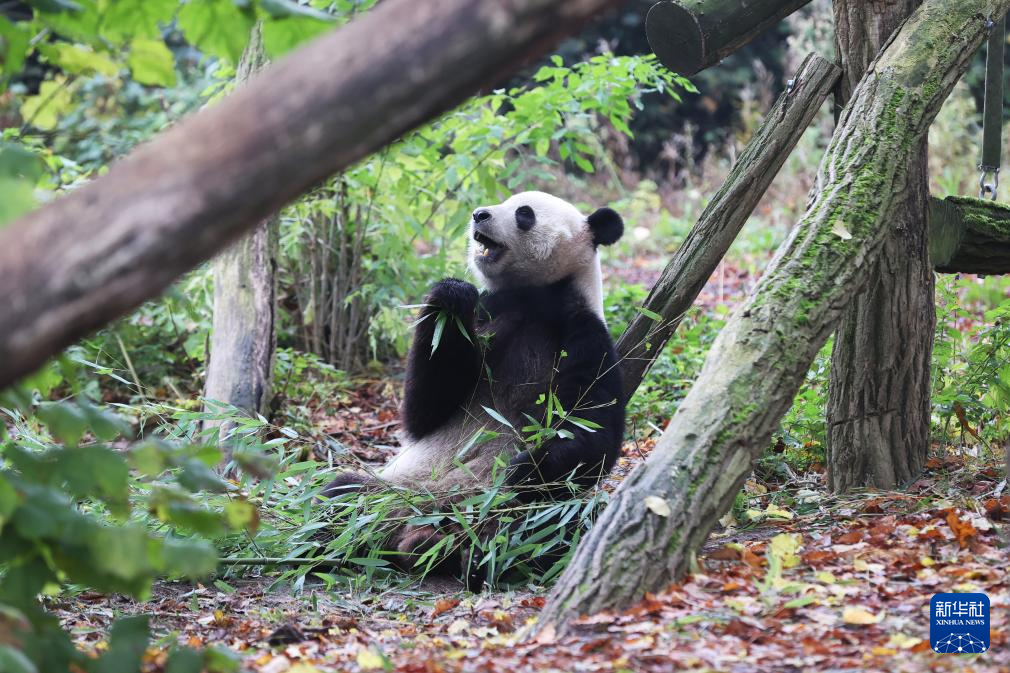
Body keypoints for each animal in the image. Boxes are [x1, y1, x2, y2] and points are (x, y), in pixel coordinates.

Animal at [323, 194, 622, 578]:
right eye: (506, 200)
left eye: (524, 213)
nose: (479, 214)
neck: (532, 296)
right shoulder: (485, 320)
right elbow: (425, 410)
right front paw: (452, 293)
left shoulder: (583, 334)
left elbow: (591, 432)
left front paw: (523, 467)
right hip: (400, 487)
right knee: (343, 494)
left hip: (523, 513)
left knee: (557, 528)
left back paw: (467, 552)